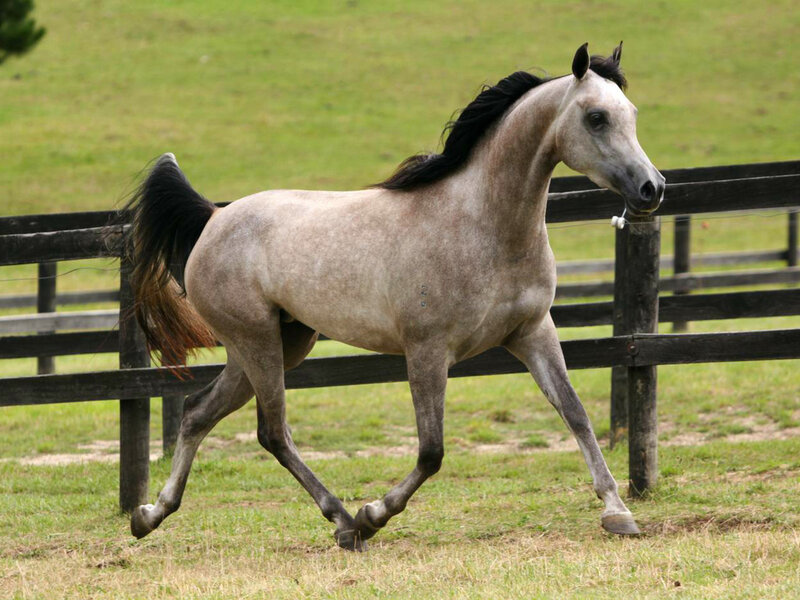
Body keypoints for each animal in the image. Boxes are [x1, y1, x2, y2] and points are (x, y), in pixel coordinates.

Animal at [125, 42, 664, 551]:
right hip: (256, 341)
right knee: (272, 431)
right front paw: (374, 513)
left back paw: (149, 515)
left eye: (633, 113)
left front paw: (618, 513)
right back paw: (345, 522)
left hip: (277, 343)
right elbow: (432, 450)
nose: (652, 188)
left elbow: (575, 413)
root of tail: (214, 217)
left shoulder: (532, 332)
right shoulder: (426, 350)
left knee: (198, 413)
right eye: (596, 117)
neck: (481, 225)